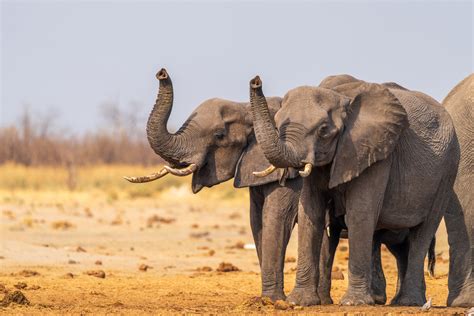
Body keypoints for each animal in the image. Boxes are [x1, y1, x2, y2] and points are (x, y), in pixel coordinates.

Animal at [124, 67, 302, 302]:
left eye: (219, 135)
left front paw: (271, 301)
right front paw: (267, 300)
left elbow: (276, 218)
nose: (161, 73)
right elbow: (257, 220)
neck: (246, 108)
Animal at [248, 74, 460, 306]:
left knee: (423, 232)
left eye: (323, 130)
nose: (256, 81)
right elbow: (311, 213)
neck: (340, 95)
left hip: (448, 171)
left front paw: (353, 303)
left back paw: (407, 303)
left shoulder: (373, 151)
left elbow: (360, 213)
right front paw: (299, 302)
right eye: (278, 124)